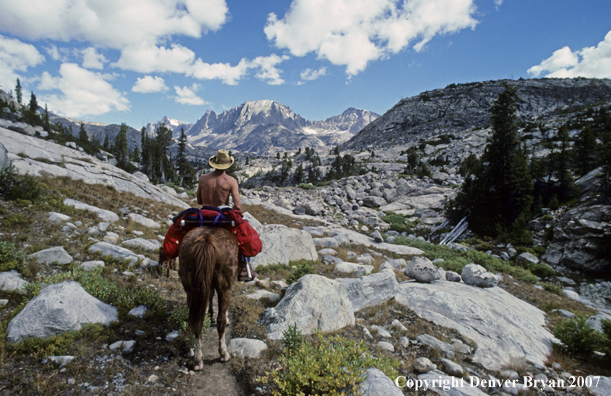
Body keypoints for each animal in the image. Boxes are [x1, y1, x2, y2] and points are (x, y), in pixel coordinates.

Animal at [177, 224, 239, 370]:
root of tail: (206, 240)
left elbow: (210, 294)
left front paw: (210, 313)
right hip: (224, 285)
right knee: (220, 321)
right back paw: (223, 354)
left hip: (190, 286)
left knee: (196, 322)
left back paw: (197, 358)